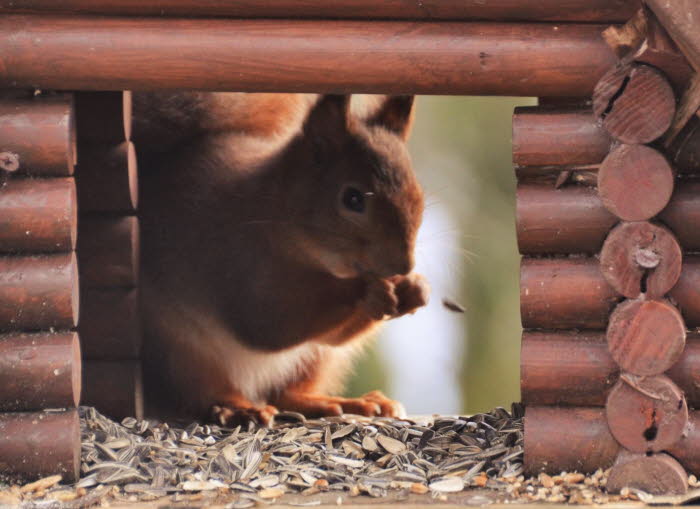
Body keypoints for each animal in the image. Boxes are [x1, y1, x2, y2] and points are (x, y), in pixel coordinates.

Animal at [135, 92, 430, 424]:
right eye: (352, 198)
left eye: (418, 195)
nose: (403, 265)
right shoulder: (234, 260)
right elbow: (270, 325)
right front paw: (370, 291)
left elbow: (333, 336)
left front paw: (414, 288)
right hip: (178, 354)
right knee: (201, 392)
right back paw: (238, 407)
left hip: (318, 361)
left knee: (286, 393)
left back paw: (341, 402)